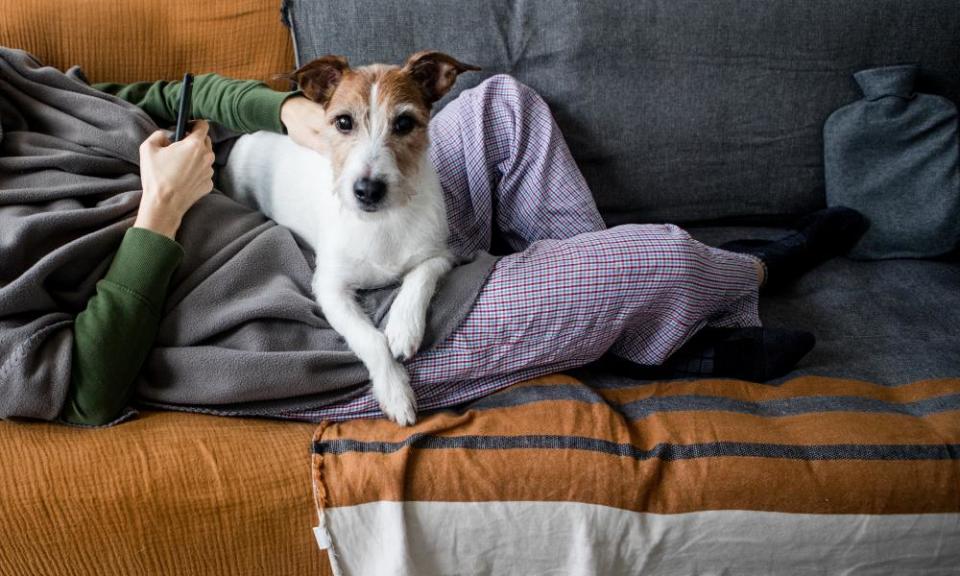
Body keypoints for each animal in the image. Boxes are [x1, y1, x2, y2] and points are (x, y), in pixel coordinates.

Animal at [220, 51, 480, 426]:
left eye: (404, 123)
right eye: (343, 122)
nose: (368, 189)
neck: (381, 222)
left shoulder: (440, 255)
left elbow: (419, 278)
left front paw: (403, 327)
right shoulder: (330, 290)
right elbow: (370, 339)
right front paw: (395, 392)